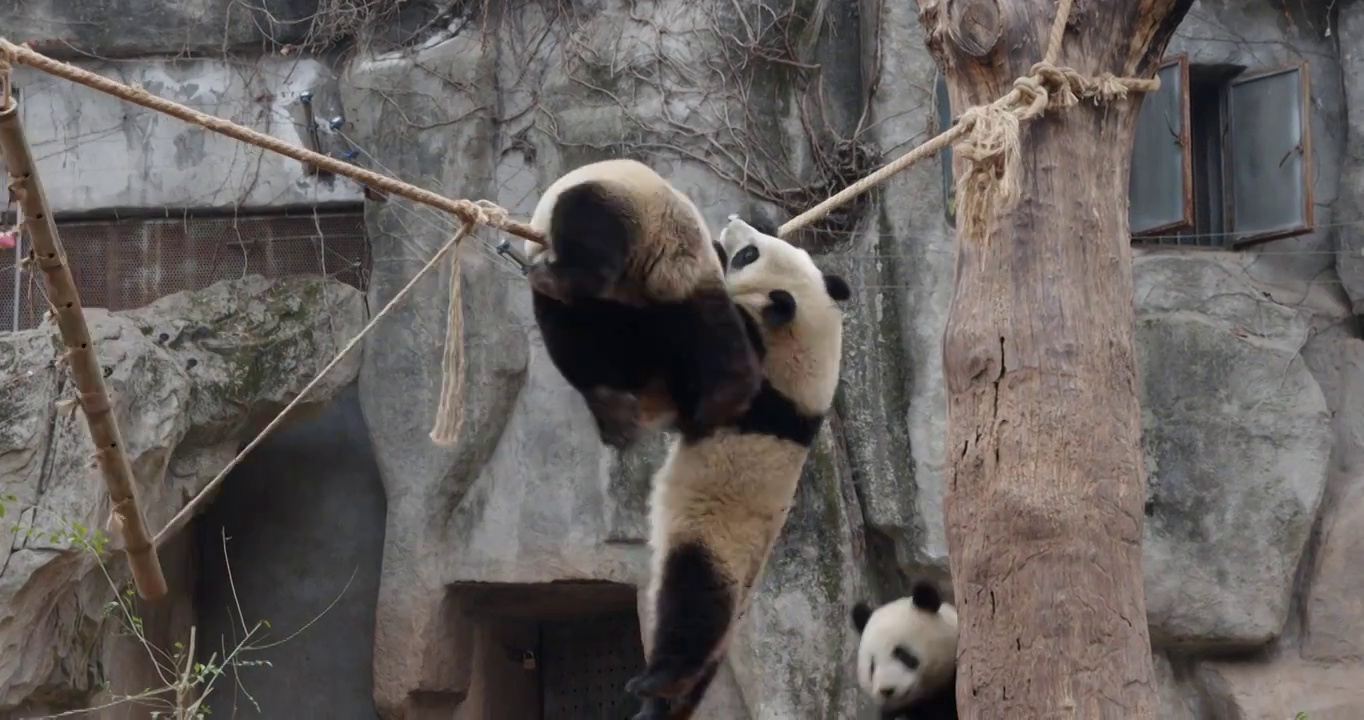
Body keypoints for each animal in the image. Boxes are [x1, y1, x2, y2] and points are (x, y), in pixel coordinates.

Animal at [624, 218, 845, 720]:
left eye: (748, 255)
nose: (732, 222)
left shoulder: (755, 372)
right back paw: (659, 704)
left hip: (712, 545)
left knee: (692, 611)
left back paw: (653, 680)